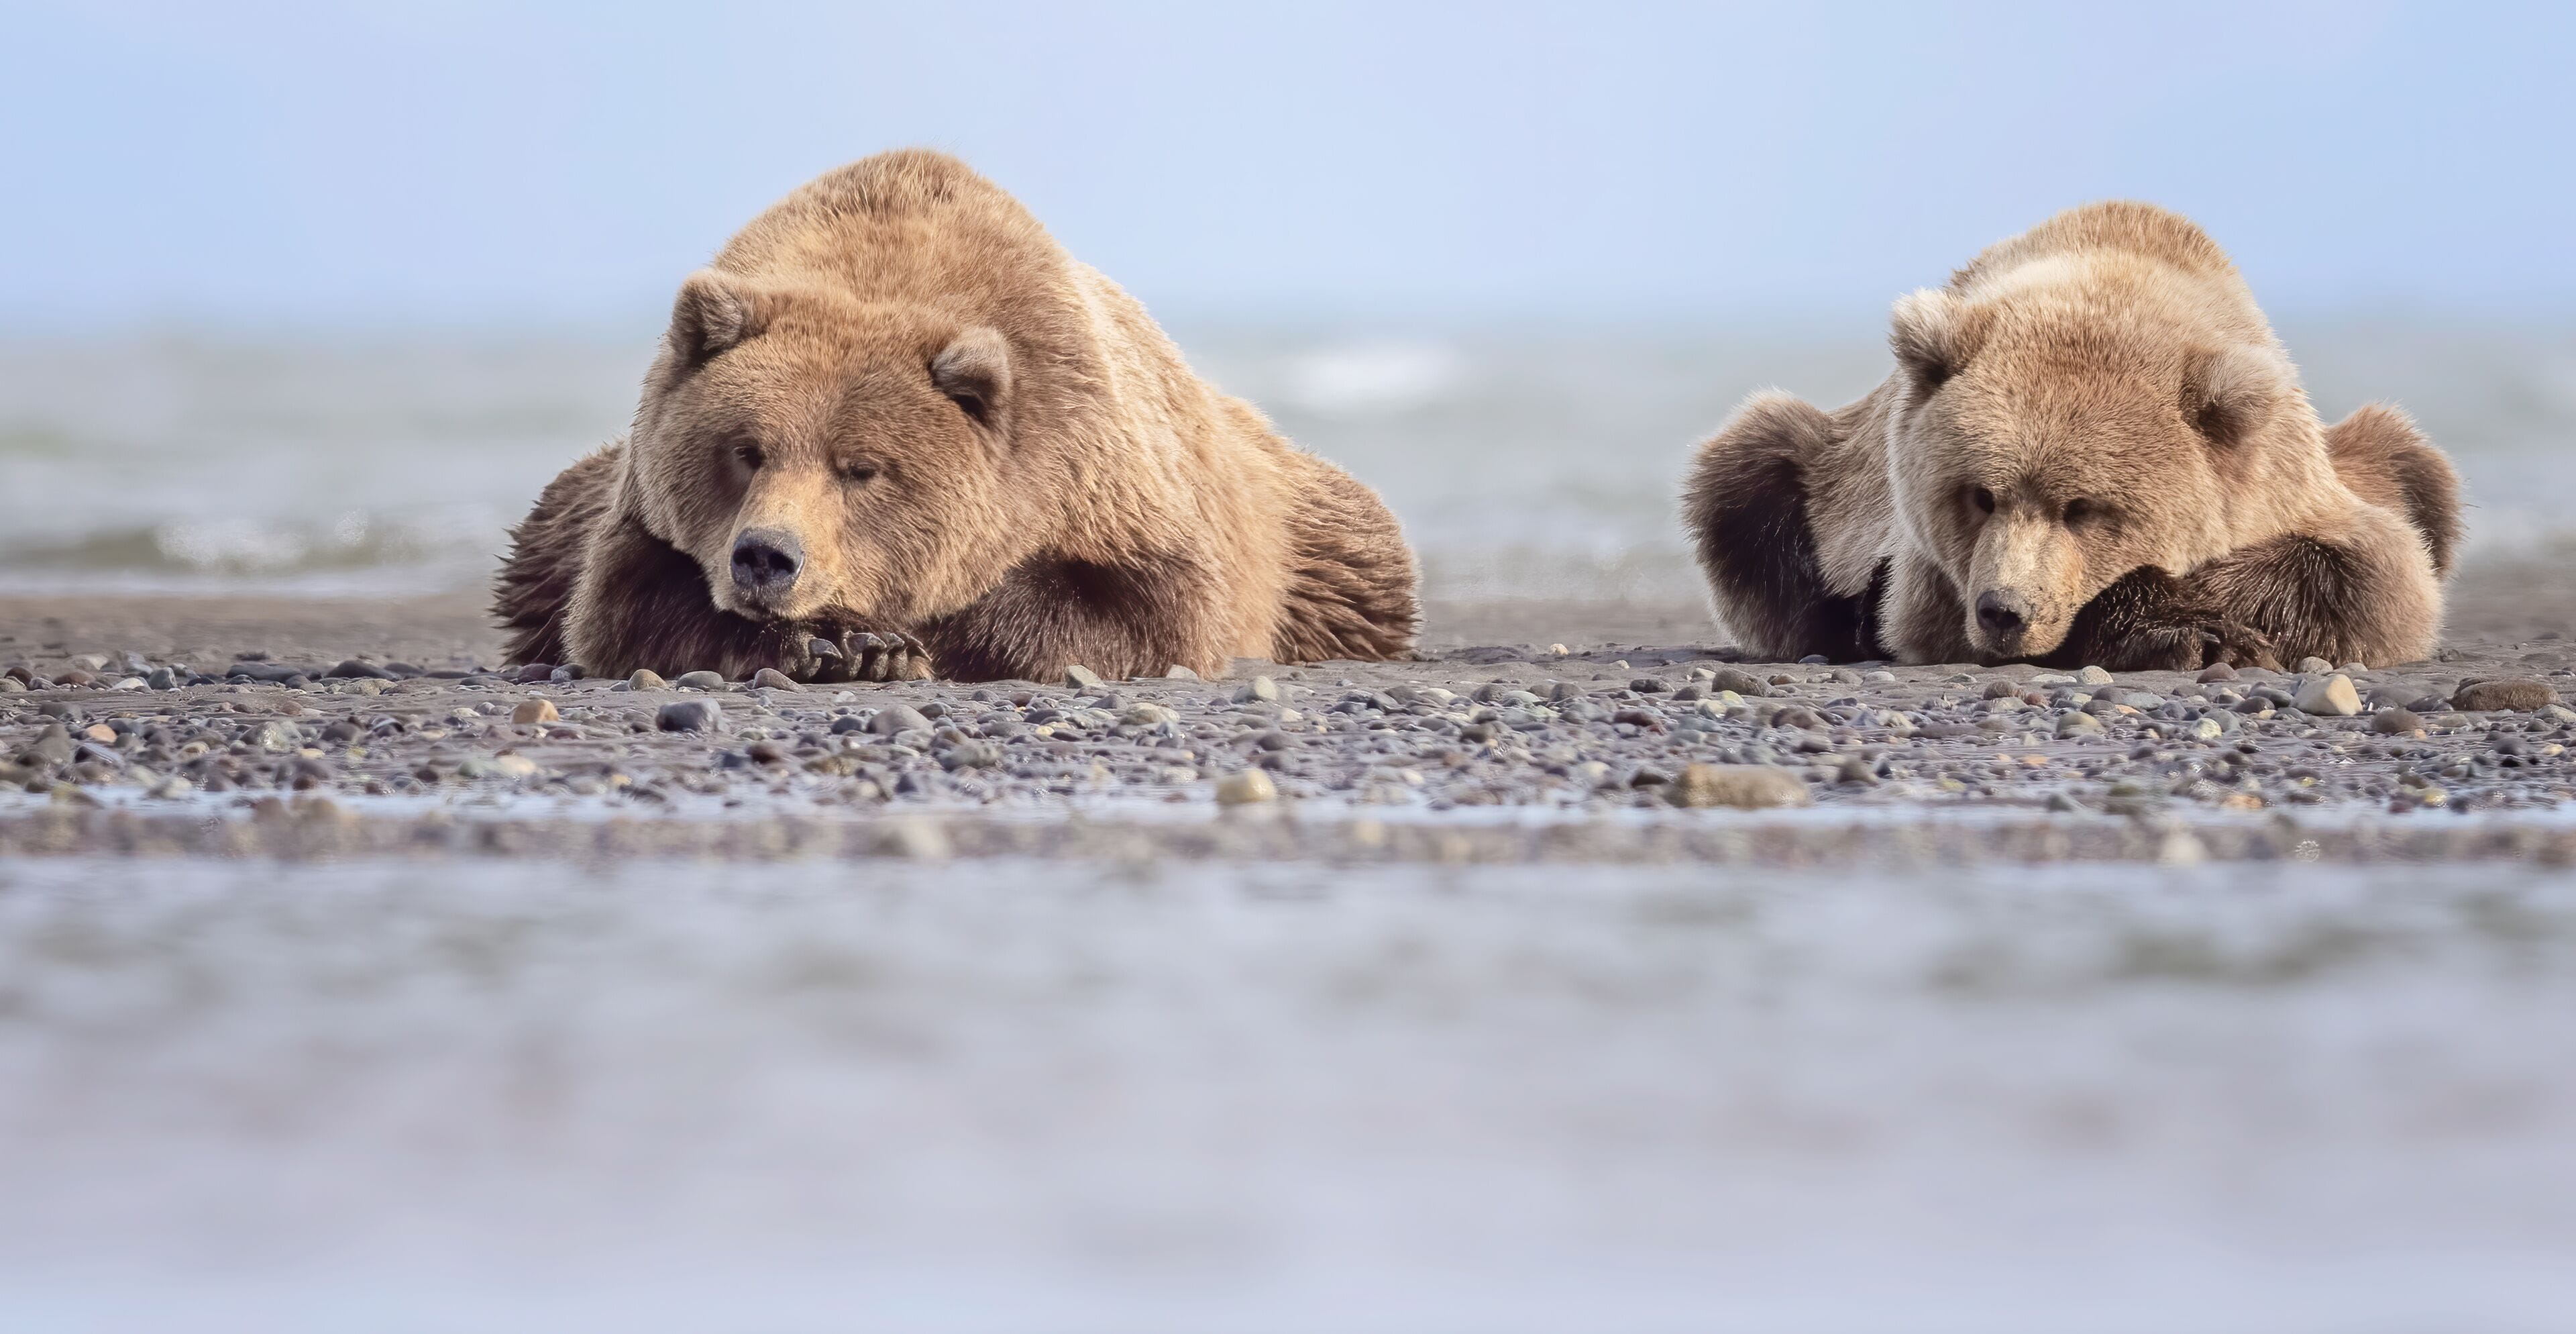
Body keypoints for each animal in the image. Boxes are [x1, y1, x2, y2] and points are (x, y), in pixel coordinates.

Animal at [494, 149, 1418, 684]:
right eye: (745, 449)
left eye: (861, 467)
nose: (767, 557)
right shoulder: (637, 511)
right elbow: (624, 603)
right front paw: (824, 644)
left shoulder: (1104, 473)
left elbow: (1144, 611)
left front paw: (891, 640)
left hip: (1313, 533)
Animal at [1681, 201, 2460, 673]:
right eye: (1979, 495)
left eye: (2085, 507)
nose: (2005, 611)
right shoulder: (1924, 572)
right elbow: (1920, 611)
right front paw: (2184, 633)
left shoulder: (2288, 484)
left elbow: (2372, 576)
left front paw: (2205, 627)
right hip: (1823, 472)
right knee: (1749, 484)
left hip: (2380, 449)